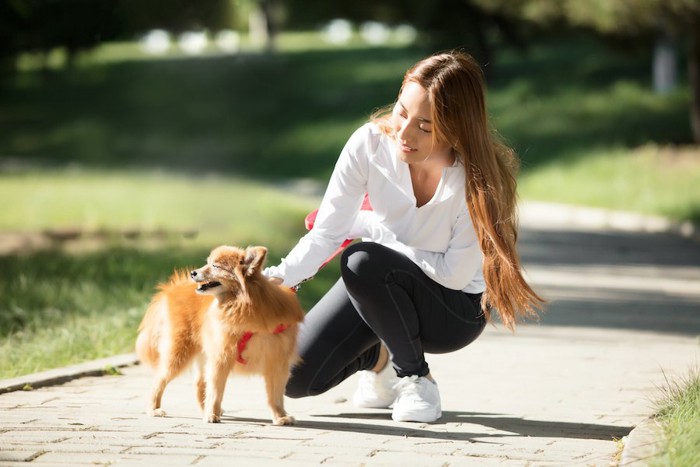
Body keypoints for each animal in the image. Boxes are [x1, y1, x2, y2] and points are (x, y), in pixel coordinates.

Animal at [135, 247, 302, 426]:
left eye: (215, 266)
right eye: (207, 263)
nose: (193, 273)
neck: (241, 305)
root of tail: (173, 288)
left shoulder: (277, 362)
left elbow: (275, 395)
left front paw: (280, 416)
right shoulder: (221, 356)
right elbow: (216, 391)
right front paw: (211, 414)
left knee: (199, 383)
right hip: (179, 353)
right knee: (159, 380)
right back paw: (154, 408)